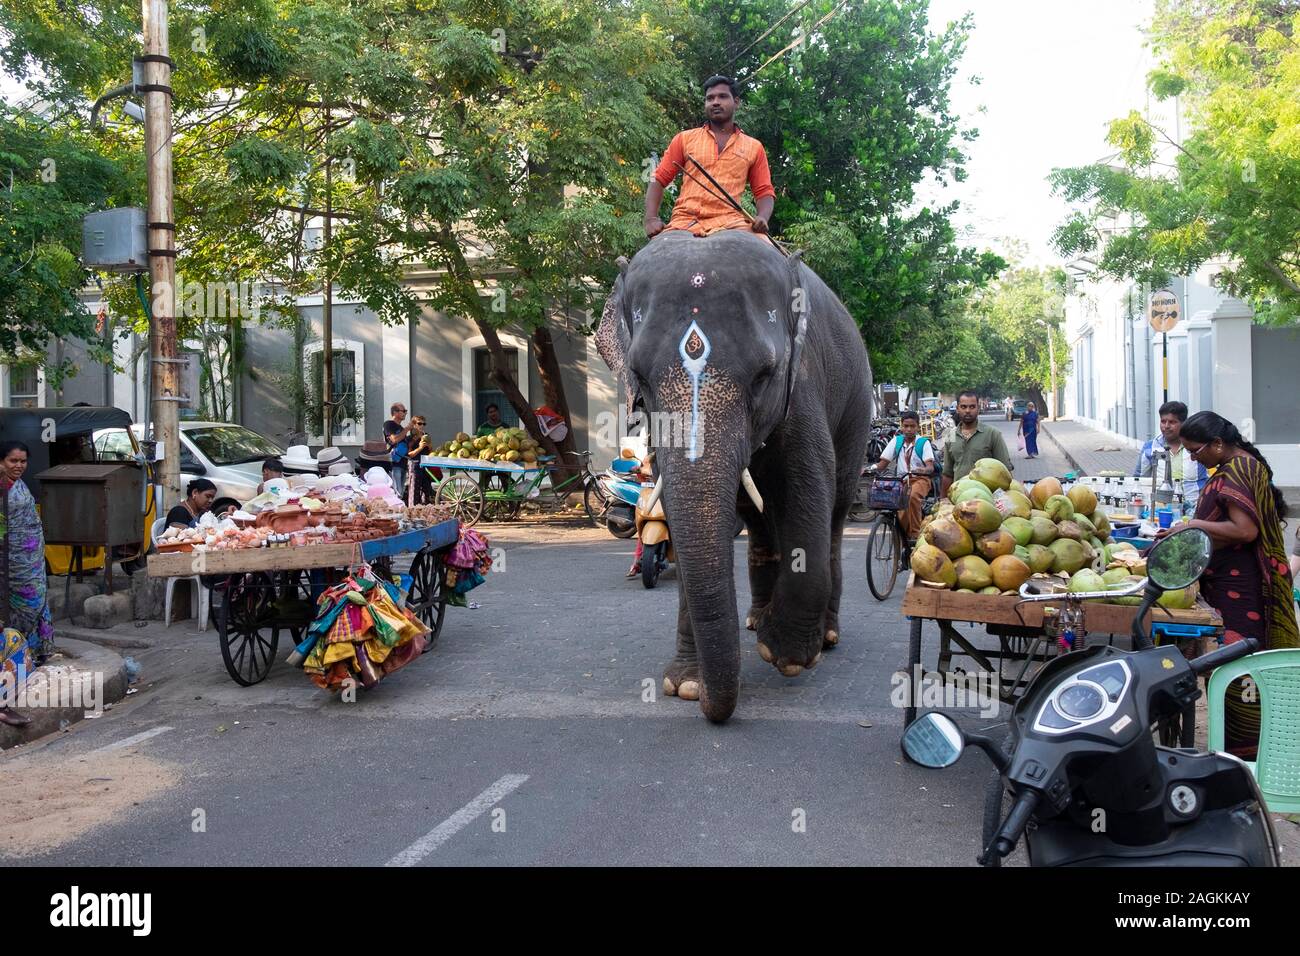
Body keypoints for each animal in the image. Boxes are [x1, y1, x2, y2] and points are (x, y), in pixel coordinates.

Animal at [598, 231, 873, 723]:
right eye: (640, 378)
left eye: (765, 374)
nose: (712, 706)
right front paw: (686, 685)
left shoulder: (802, 387)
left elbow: (808, 496)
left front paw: (785, 656)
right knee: (760, 522)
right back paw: (755, 620)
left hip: (856, 408)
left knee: (836, 512)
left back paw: (824, 636)